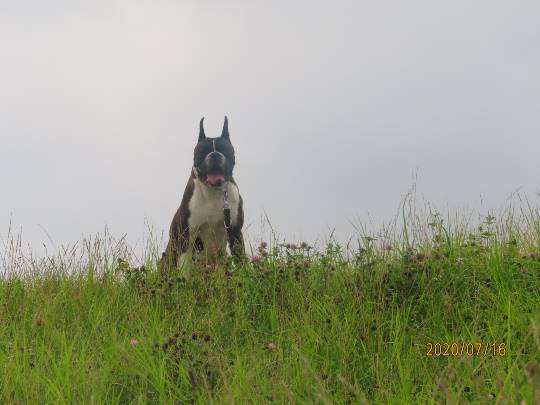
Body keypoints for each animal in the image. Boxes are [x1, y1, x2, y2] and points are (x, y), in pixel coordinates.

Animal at [160, 116, 245, 274]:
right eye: (203, 151)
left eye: (224, 149)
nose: (215, 155)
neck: (213, 192)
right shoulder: (186, 236)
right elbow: (184, 269)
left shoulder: (235, 232)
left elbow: (242, 261)